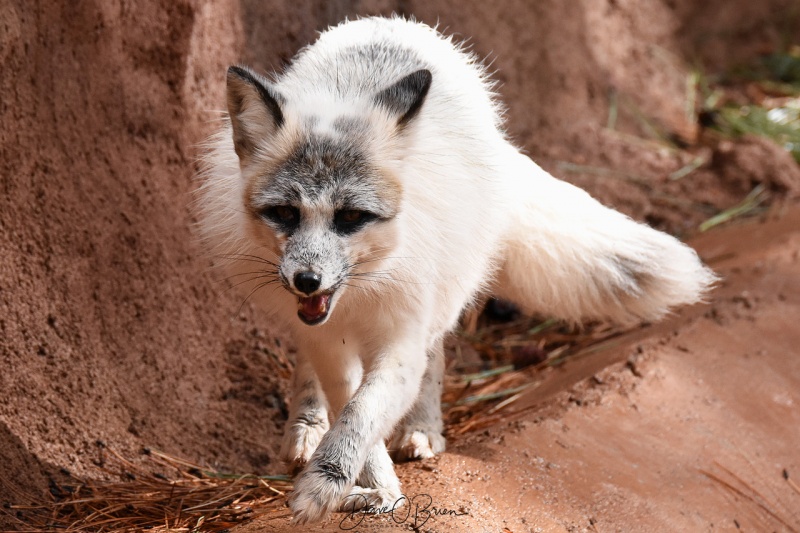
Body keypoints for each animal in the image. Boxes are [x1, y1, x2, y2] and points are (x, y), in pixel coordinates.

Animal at [195, 15, 720, 524]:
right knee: (313, 369)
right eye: (285, 213)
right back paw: (306, 426)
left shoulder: (403, 336)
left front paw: (336, 485)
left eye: (350, 218)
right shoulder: (328, 337)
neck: (360, 297)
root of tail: (395, 24)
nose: (307, 280)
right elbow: (349, 403)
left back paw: (422, 428)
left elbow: (364, 413)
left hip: (444, 296)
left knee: (436, 359)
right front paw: (367, 484)